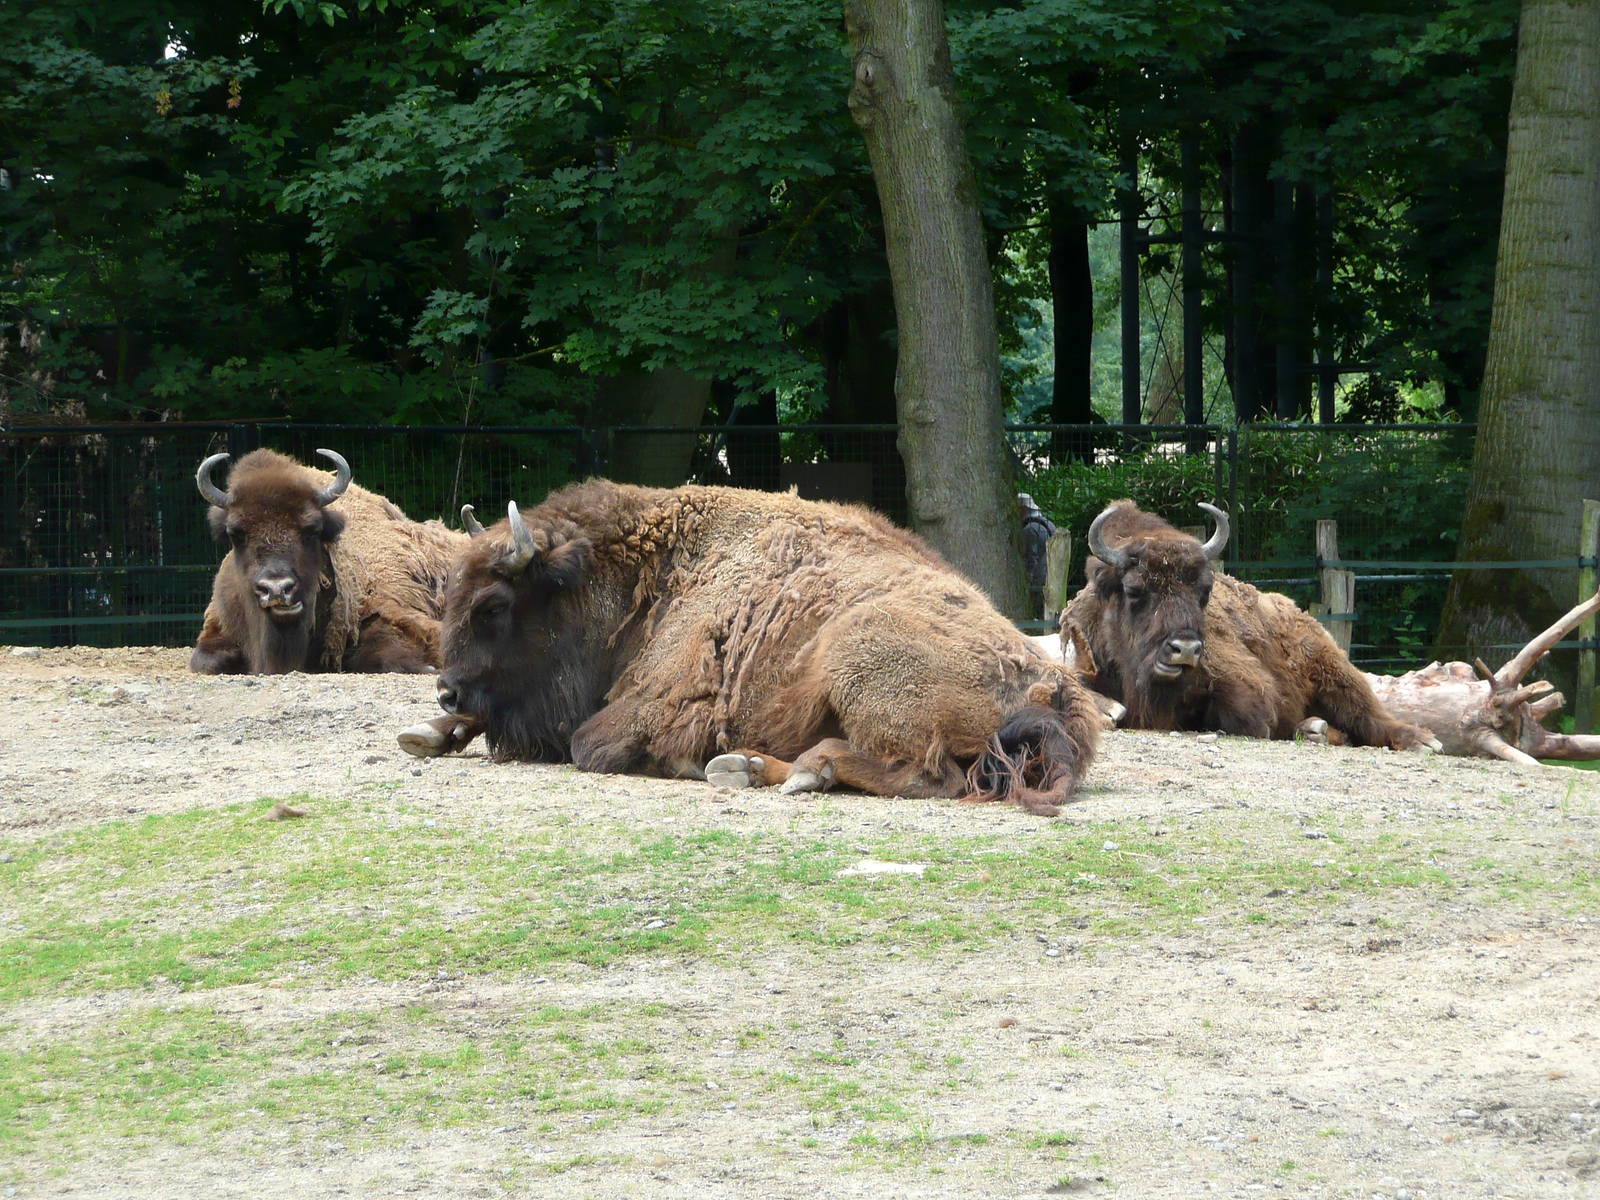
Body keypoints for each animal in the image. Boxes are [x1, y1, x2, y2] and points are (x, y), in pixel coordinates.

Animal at [398, 480, 1099, 815]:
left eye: (494, 606)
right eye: (452, 593)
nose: (447, 687)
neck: (650, 573)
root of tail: (1057, 688)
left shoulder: (654, 705)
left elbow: (587, 745)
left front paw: (676, 761)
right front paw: (428, 731)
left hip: (859, 665)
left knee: (930, 776)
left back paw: (786, 770)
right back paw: (748, 767)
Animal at [1063, 500, 1437, 749]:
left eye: (1204, 590)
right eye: (1134, 590)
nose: (1185, 649)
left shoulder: (1243, 682)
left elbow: (1249, 719)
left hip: (1335, 670)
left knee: (1368, 713)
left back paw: (1420, 741)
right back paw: (1315, 729)